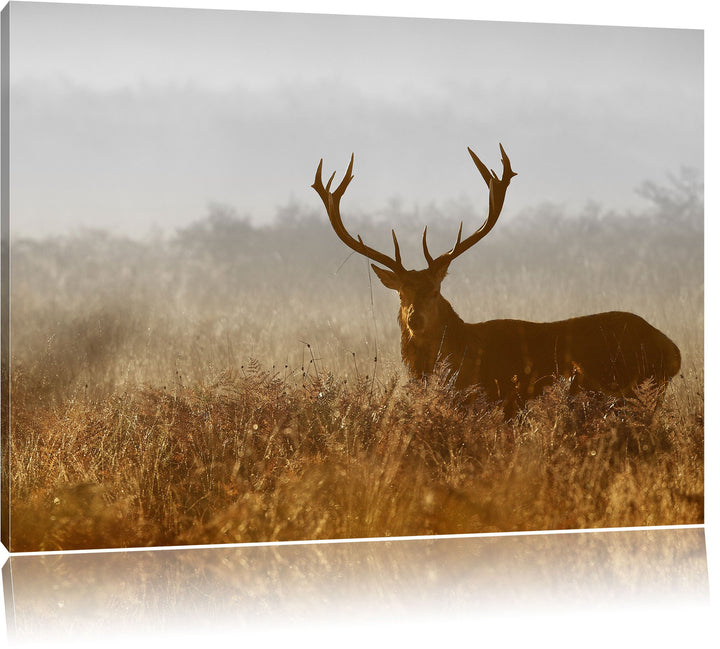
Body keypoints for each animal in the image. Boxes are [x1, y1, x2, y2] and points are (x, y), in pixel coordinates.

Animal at [312, 144, 681, 418]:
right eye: (401, 294)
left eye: (435, 290)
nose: (415, 319)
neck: (457, 355)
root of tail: (674, 352)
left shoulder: (496, 400)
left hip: (628, 387)